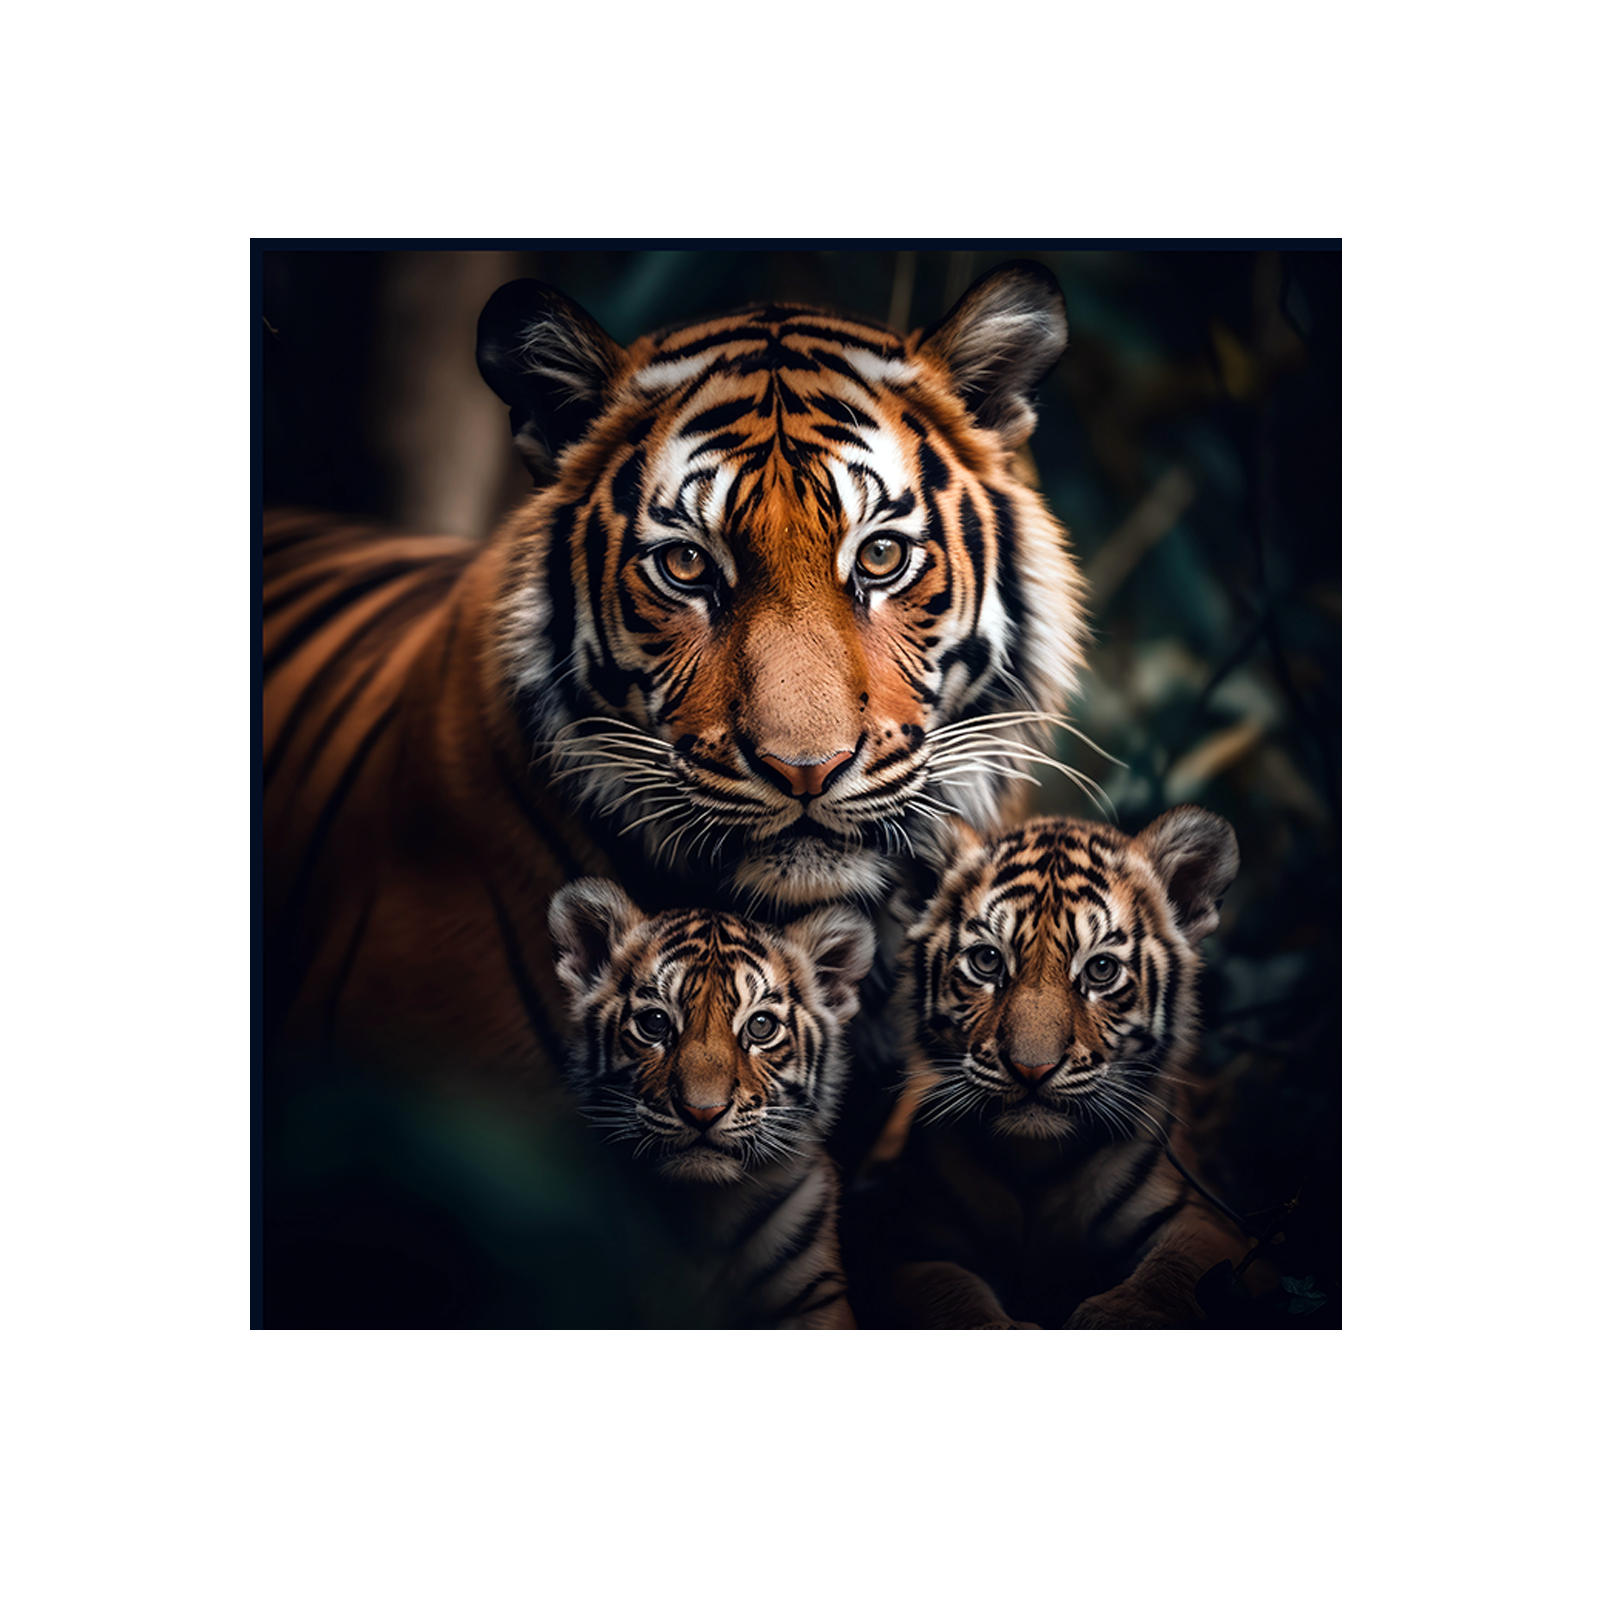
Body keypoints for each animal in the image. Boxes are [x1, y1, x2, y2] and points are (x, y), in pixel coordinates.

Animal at [846, 807, 1273, 1332]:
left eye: (1101, 970)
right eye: (987, 961)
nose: (1032, 1069)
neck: (1033, 1160)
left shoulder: (1209, 1225)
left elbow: (1171, 1277)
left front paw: (1110, 1320)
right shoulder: (902, 1244)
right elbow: (947, 1291)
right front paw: (997, 1328)